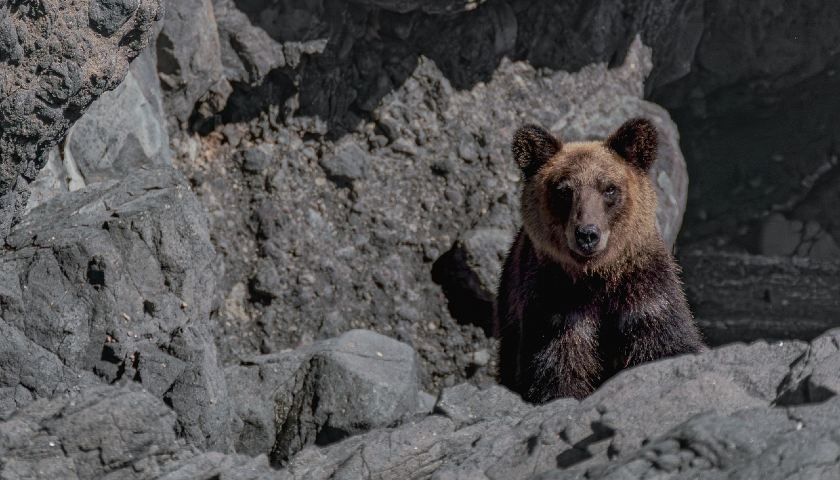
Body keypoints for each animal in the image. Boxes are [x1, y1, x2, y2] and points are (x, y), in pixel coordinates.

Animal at [494, 118, 705, 403]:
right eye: (564, 191)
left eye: (609, 188)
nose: (587, 234)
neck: (597, 277)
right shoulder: (555, 309)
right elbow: (557, 369)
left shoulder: (645, 293)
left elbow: (665, 343)